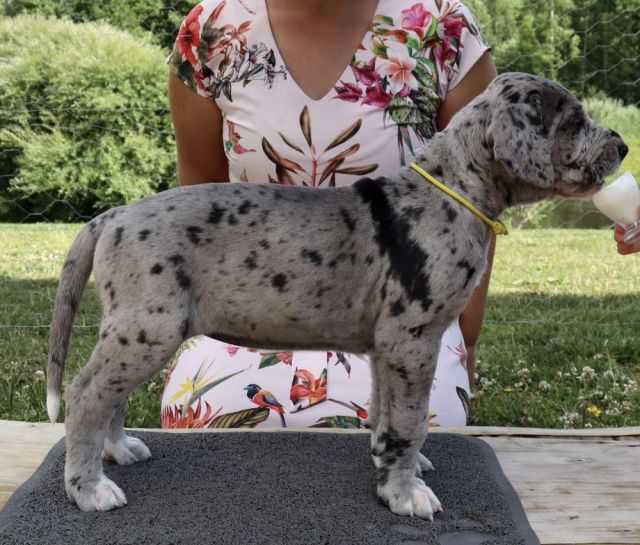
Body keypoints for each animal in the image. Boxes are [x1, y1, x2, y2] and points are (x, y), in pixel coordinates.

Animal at [47, 73, 627, 517]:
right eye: (573, 121)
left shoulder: (388, 348)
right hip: (148, 327)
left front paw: (396, 467)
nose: (623, 146)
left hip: (132, 331)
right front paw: (405, 493)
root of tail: (112, 216)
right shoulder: (412, 340)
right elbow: (410, 422)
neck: (455, 189)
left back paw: (117, 449)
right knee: (85, 394)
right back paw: (88, 486)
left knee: (107, 394)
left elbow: (387, 415)